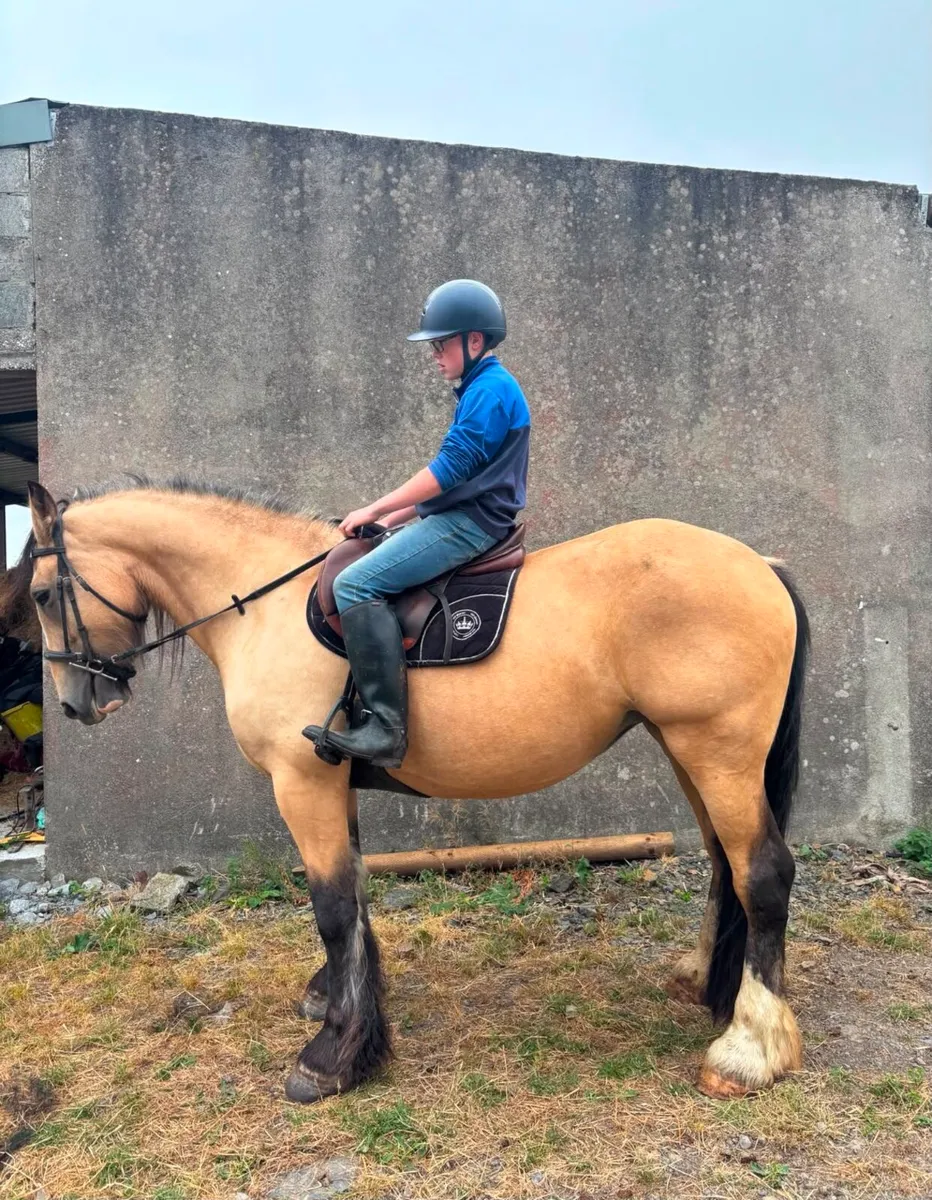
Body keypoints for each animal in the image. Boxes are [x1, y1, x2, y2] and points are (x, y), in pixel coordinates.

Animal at [24, 477, 809, 1104]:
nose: (73, 703)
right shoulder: (331, 780)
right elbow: (354, 893)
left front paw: (335, 1055)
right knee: (724, 865)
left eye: (37, 593)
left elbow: (333, 906)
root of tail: (760, 566)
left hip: (716, 750)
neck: (265, 602)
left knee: (762, 874)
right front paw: (338, 1001)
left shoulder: (301, 781)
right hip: (687, 750)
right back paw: (705, 981)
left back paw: (747, 1049)